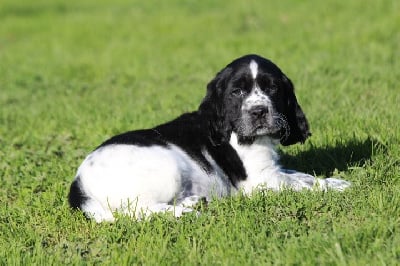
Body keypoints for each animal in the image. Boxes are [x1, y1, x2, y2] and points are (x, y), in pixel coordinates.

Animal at [69, 54, 350, 222]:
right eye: (237, 91)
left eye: (272, 88)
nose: (259, 111)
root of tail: (78, 185)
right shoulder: (260, 180)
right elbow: (302, 183)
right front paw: (334, 187)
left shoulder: (273, 169)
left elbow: (301, 175)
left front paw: (336, 181)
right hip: (167, 170)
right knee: (138, 211)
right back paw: (188, 213)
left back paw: (194, 202)